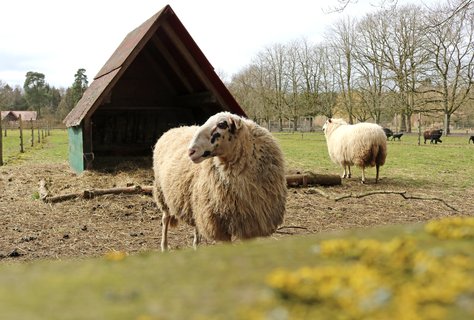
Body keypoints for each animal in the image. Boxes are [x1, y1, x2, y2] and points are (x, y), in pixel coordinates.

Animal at [153, 111, 286, 251]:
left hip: (197, 200)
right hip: (161, 192)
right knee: (165, 219)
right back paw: (164, 246)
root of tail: (174, 128)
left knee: (196, 223)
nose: (190, 151)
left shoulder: (248, 225)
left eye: (222, 124)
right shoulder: (220, 225)